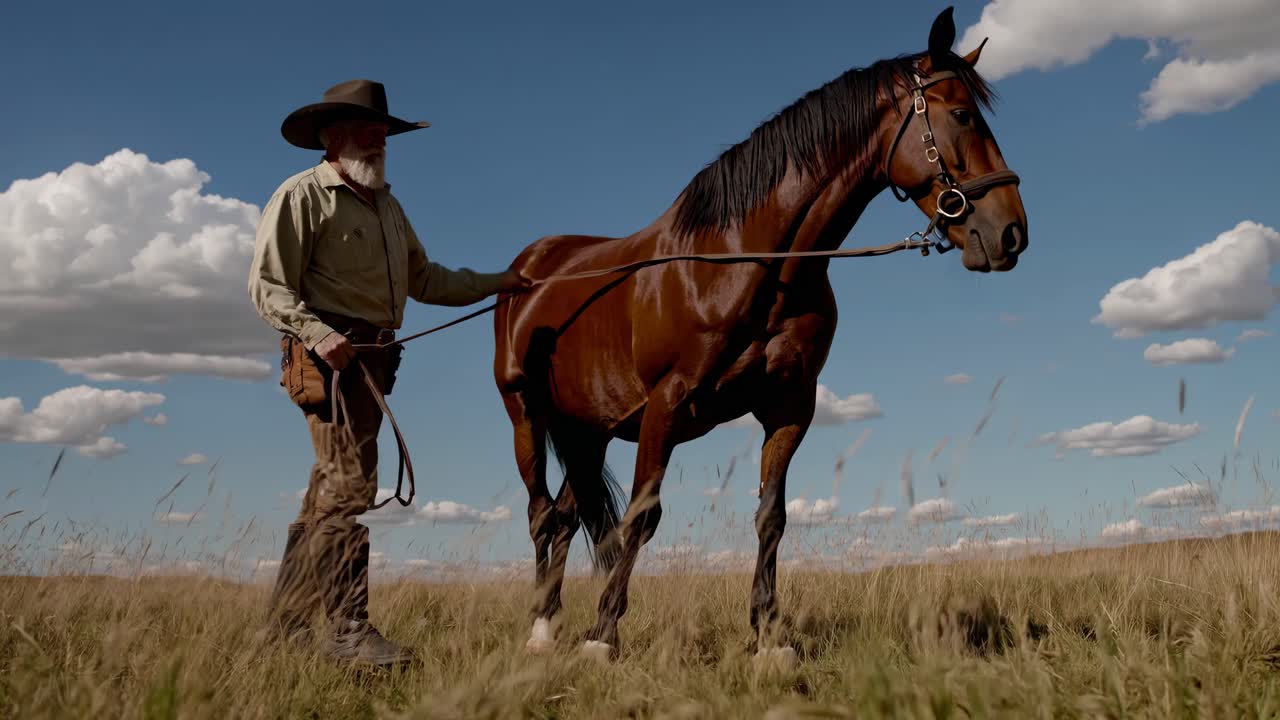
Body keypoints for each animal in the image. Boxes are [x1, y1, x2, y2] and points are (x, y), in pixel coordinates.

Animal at [491, 6, 1028, 662]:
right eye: (961, 114)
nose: (1010, 232)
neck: (748, 261)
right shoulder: (666, 406)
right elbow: (642, 516)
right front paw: (603, 635)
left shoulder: (789, 405)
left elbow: (772, 516)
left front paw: (770, 634)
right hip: (528, 418)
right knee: (541, 515)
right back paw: (542, 628)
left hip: (589, 433)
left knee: (568, 517)